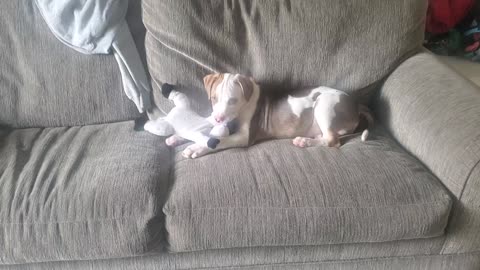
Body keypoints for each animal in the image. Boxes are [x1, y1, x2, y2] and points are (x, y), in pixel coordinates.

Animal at [182, 73, 374, 159]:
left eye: (233, 101)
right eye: (214, 98)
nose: (218, 119)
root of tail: (356, 105)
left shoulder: (244, 137)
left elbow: (220, 140)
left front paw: (196, 148)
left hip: (324, 104)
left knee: (333, 140)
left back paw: (304, 142)